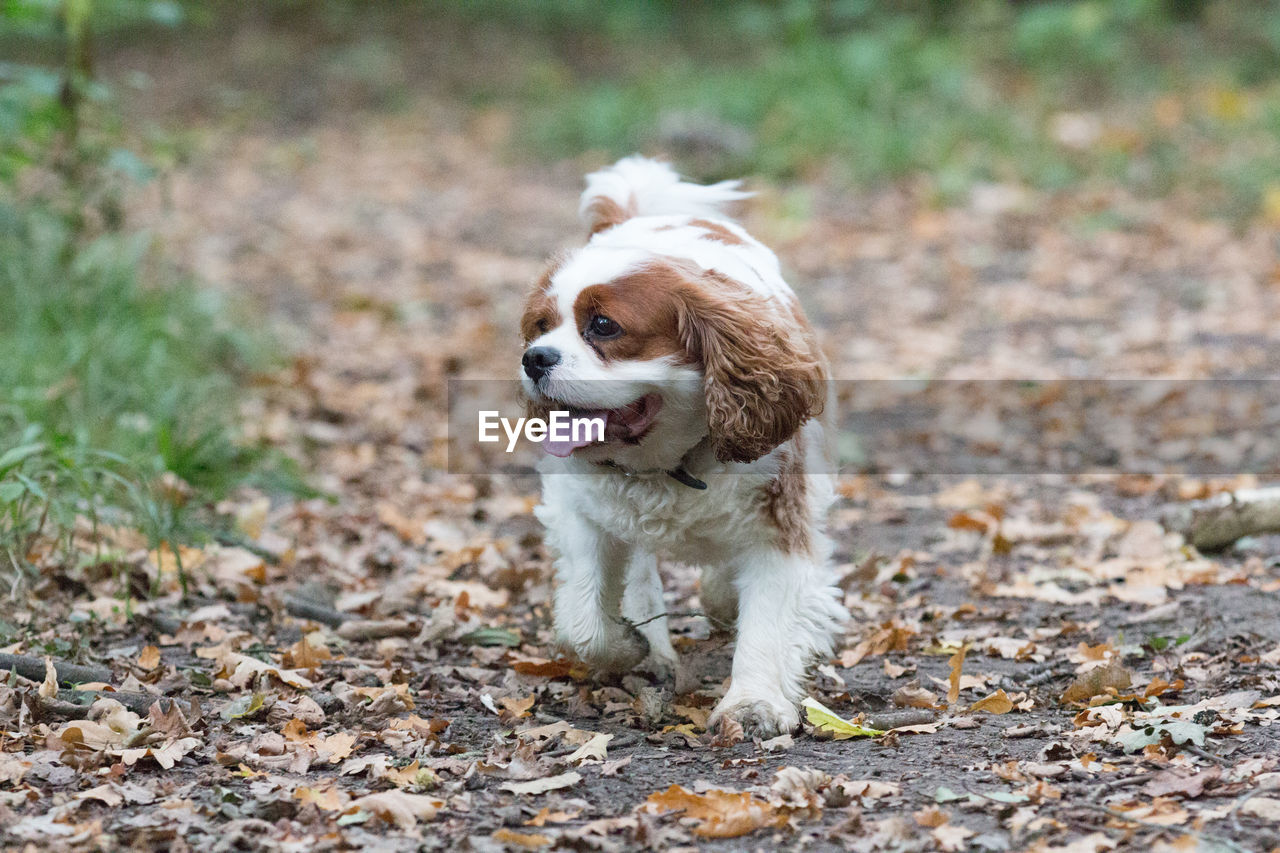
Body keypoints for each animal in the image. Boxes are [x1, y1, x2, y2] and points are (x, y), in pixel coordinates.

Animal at [519, 154, 849, 732]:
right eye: (540, 326)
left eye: (603, 325)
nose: (534, 358)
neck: (669, 462)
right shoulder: (578, 507)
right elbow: (584, 621)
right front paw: (627, 645)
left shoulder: (781, 523)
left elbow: (768, 621)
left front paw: (753, 702)